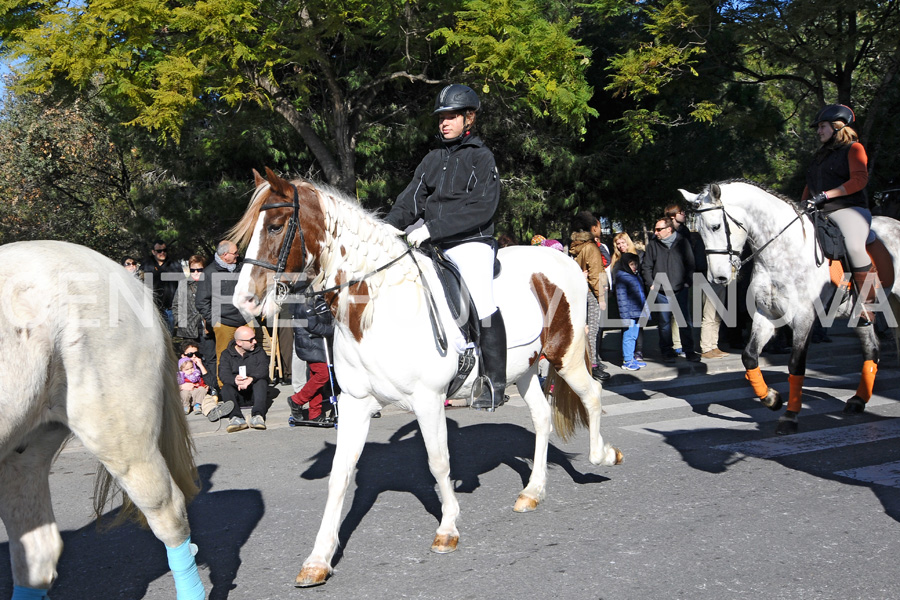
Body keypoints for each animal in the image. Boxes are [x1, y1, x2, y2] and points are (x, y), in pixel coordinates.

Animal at [229, 168, 624, 584]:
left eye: (275, 226)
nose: (243, 301)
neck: (377, 306)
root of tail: (562, 259)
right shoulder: (354, 404)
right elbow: (340, 475)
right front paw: (318, 559)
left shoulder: (428, 399)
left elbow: (438, 462)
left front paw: (448, 528)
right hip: (526, 369)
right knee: (542, 416)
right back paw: (533, 492)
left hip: (566, 355)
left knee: (592, 395)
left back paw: (603, 456)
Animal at [684, 180, 900, 434]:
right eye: (698, 231)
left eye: (716, 226)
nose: (718, 278)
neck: (781, 252)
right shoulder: (766, 315)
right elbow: (749, 356)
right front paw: (772, 399)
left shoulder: (803, 317)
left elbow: (796, 364)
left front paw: (790, 416)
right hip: (860, 314)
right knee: (871, 349)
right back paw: (857, 401)